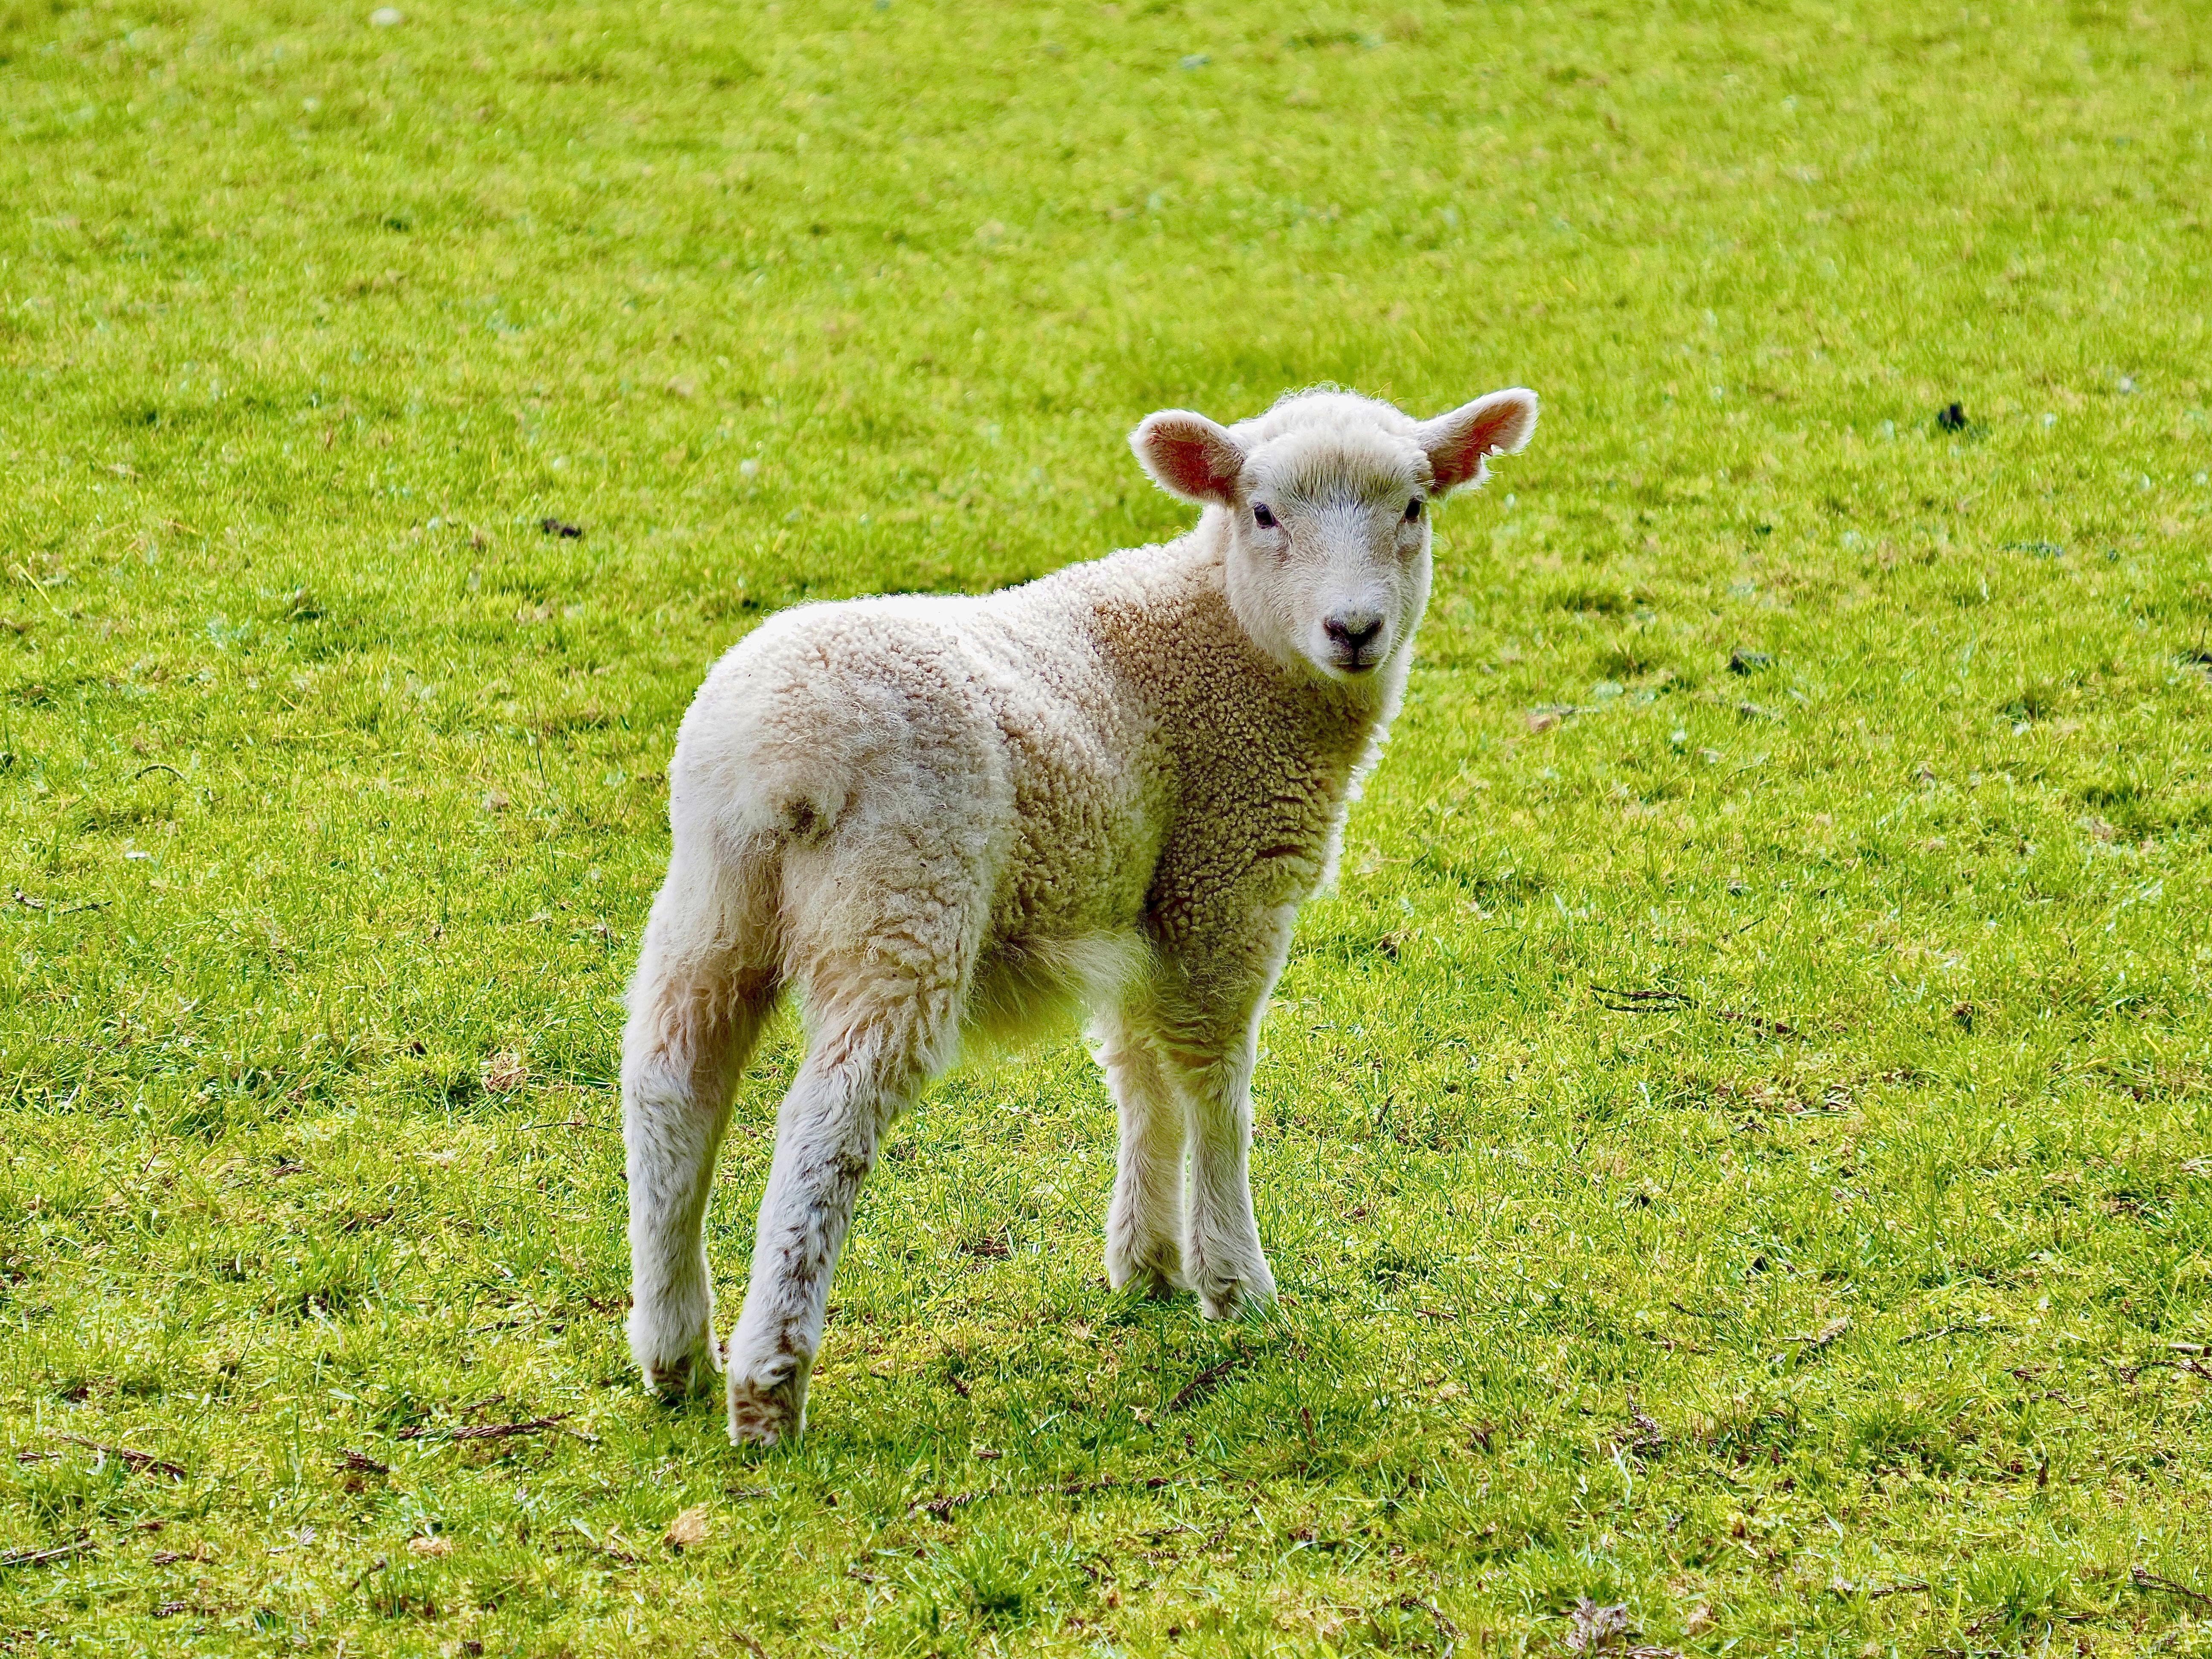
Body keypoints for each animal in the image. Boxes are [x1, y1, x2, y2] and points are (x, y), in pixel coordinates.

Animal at [622, 384, 1539, 1446]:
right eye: (1263, 513)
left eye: (1414, 508)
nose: (1354, 628)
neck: (1229, 642)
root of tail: (779, 751)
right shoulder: (1222, 885)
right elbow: (1216, 1088)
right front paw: (1235, 1281)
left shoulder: (1143, 903)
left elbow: (1142, 1078)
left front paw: (1147, 1262)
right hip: (907, 899)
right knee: (826, 1124)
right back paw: (770, 1382)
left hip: (716, 895)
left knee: (670, 1084)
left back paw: (675, 1351)